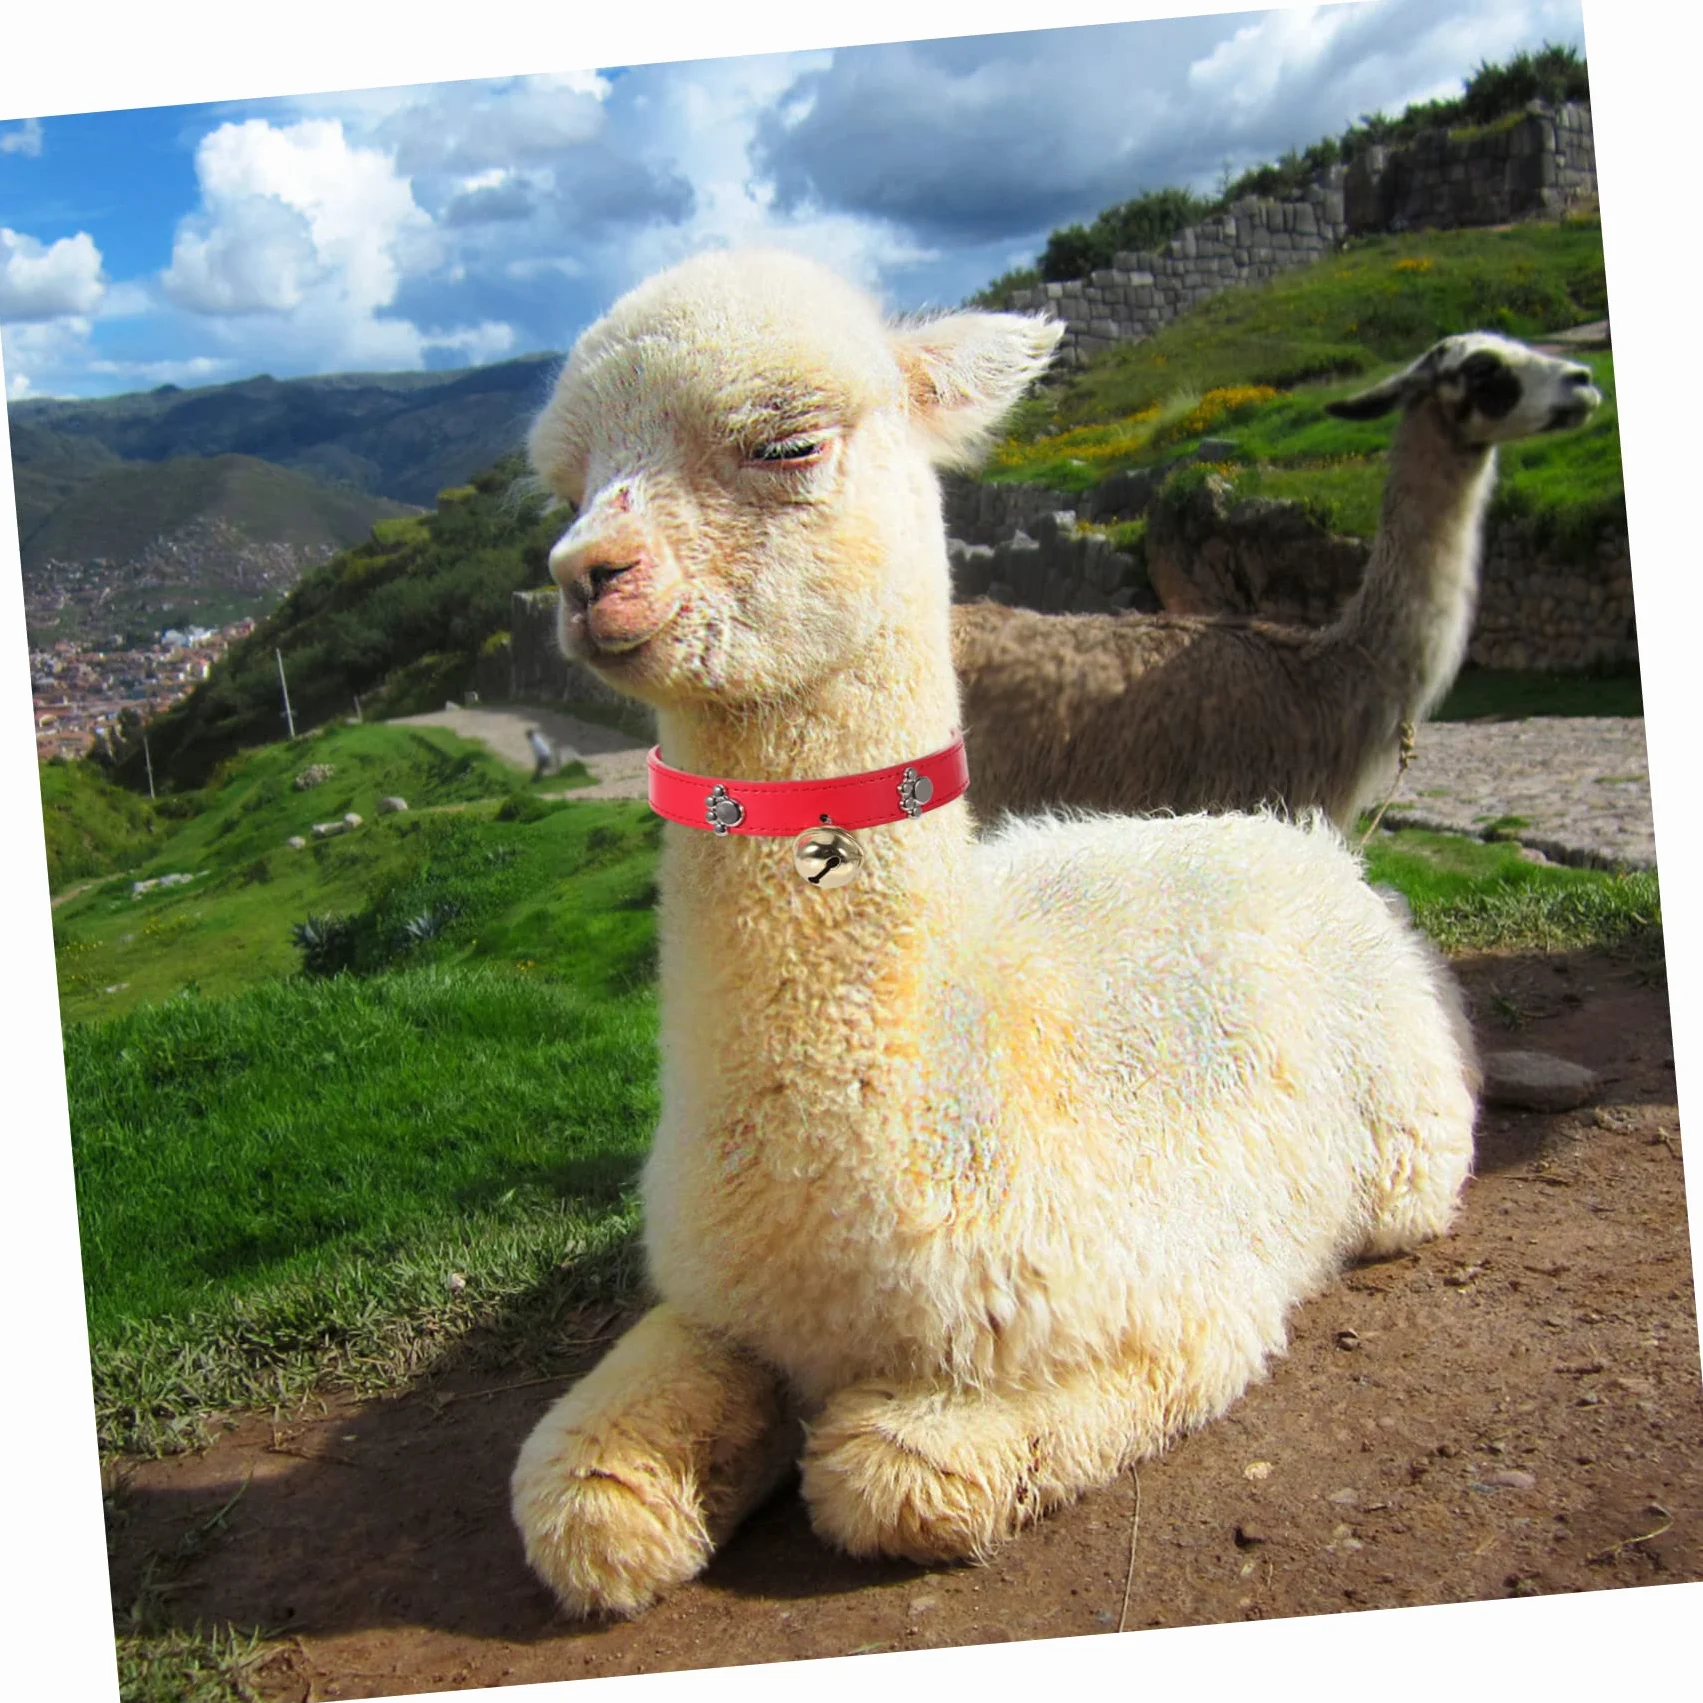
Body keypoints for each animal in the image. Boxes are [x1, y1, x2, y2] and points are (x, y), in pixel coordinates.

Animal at [510, 248, 1478, 1619]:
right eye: (567, 482)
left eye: (785, 442)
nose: (585, 574)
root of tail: (1281, 831)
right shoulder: (713, 1301)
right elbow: (587, 1492)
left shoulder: (1176, 1301)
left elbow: (894, 1470)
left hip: (1404, 1141)